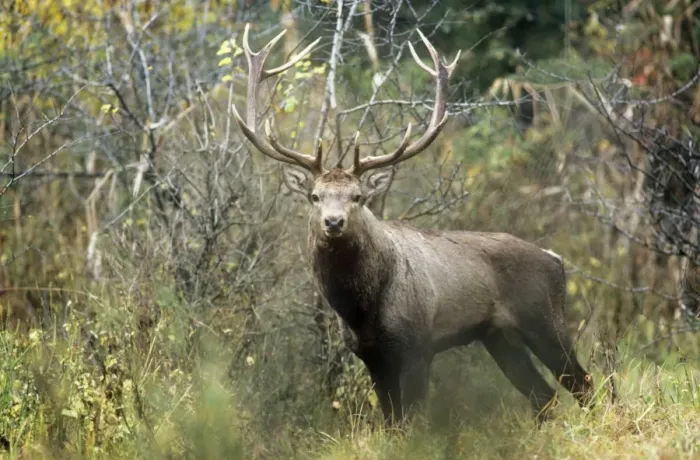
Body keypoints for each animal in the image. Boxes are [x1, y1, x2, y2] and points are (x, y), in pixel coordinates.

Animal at [231, 23, 594, 425]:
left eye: (358, 196)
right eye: (315, 196)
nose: (333, 222)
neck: (362, 310)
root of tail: (556, 259)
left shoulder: (420, 344)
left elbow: (413, 419)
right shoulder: (371, 356)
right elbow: (391, 421)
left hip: (544, 318)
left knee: (584, 382)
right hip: (498, 337)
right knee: (544, 395)